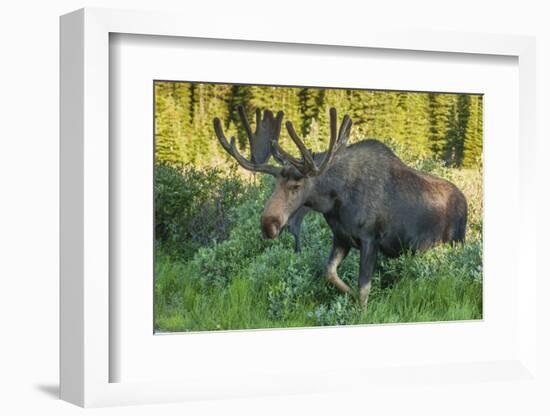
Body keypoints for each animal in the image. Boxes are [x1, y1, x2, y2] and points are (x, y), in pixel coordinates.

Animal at [213, 105, 468, 308]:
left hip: (456, 242)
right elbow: (330, 273)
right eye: (275, 183)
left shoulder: (370, 239)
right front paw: (349, 294)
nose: (268, 225)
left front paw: (360, 311)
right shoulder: (341, 238)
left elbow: (364, 287)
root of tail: (466, 202)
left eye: (296, 186)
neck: (335, 202)